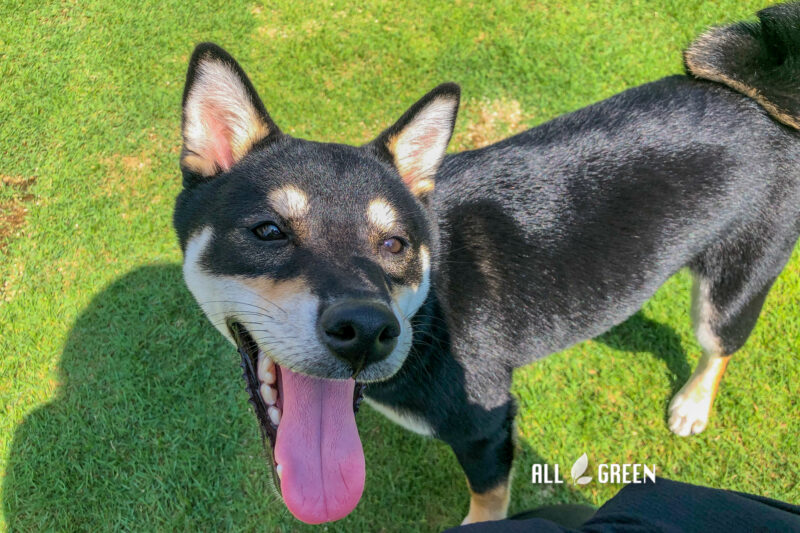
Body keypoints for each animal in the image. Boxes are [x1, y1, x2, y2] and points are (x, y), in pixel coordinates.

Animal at [173, 4, 800, 524]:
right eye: (268, 231)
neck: (429, 314)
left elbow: (488, 497)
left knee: (720, 346)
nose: (367, 330)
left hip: (729, 289)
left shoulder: (487, 425)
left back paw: (693, 402)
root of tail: (765, 96)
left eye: (395, 244)